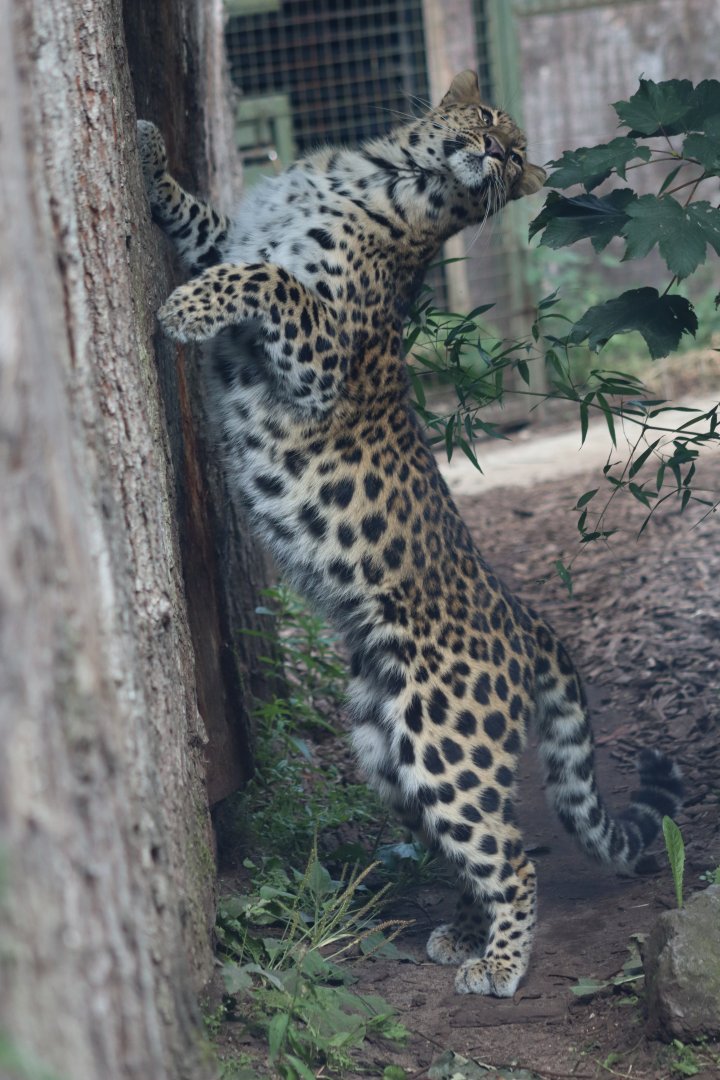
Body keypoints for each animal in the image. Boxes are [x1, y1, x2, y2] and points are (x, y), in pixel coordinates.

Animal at [137, 70, 683, 997]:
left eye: (519, 154)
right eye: (495, 121)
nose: (497, 153)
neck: (374, 171)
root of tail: (527, 623)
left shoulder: (324, 350)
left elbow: (266, 281)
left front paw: (185, 307)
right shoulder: (237, 233)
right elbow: (209, 227)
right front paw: (147, 152)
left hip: (445, 735)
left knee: (512, 854)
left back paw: (499, 966)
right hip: (384, 746)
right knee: (466, 847)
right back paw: (461, 937)